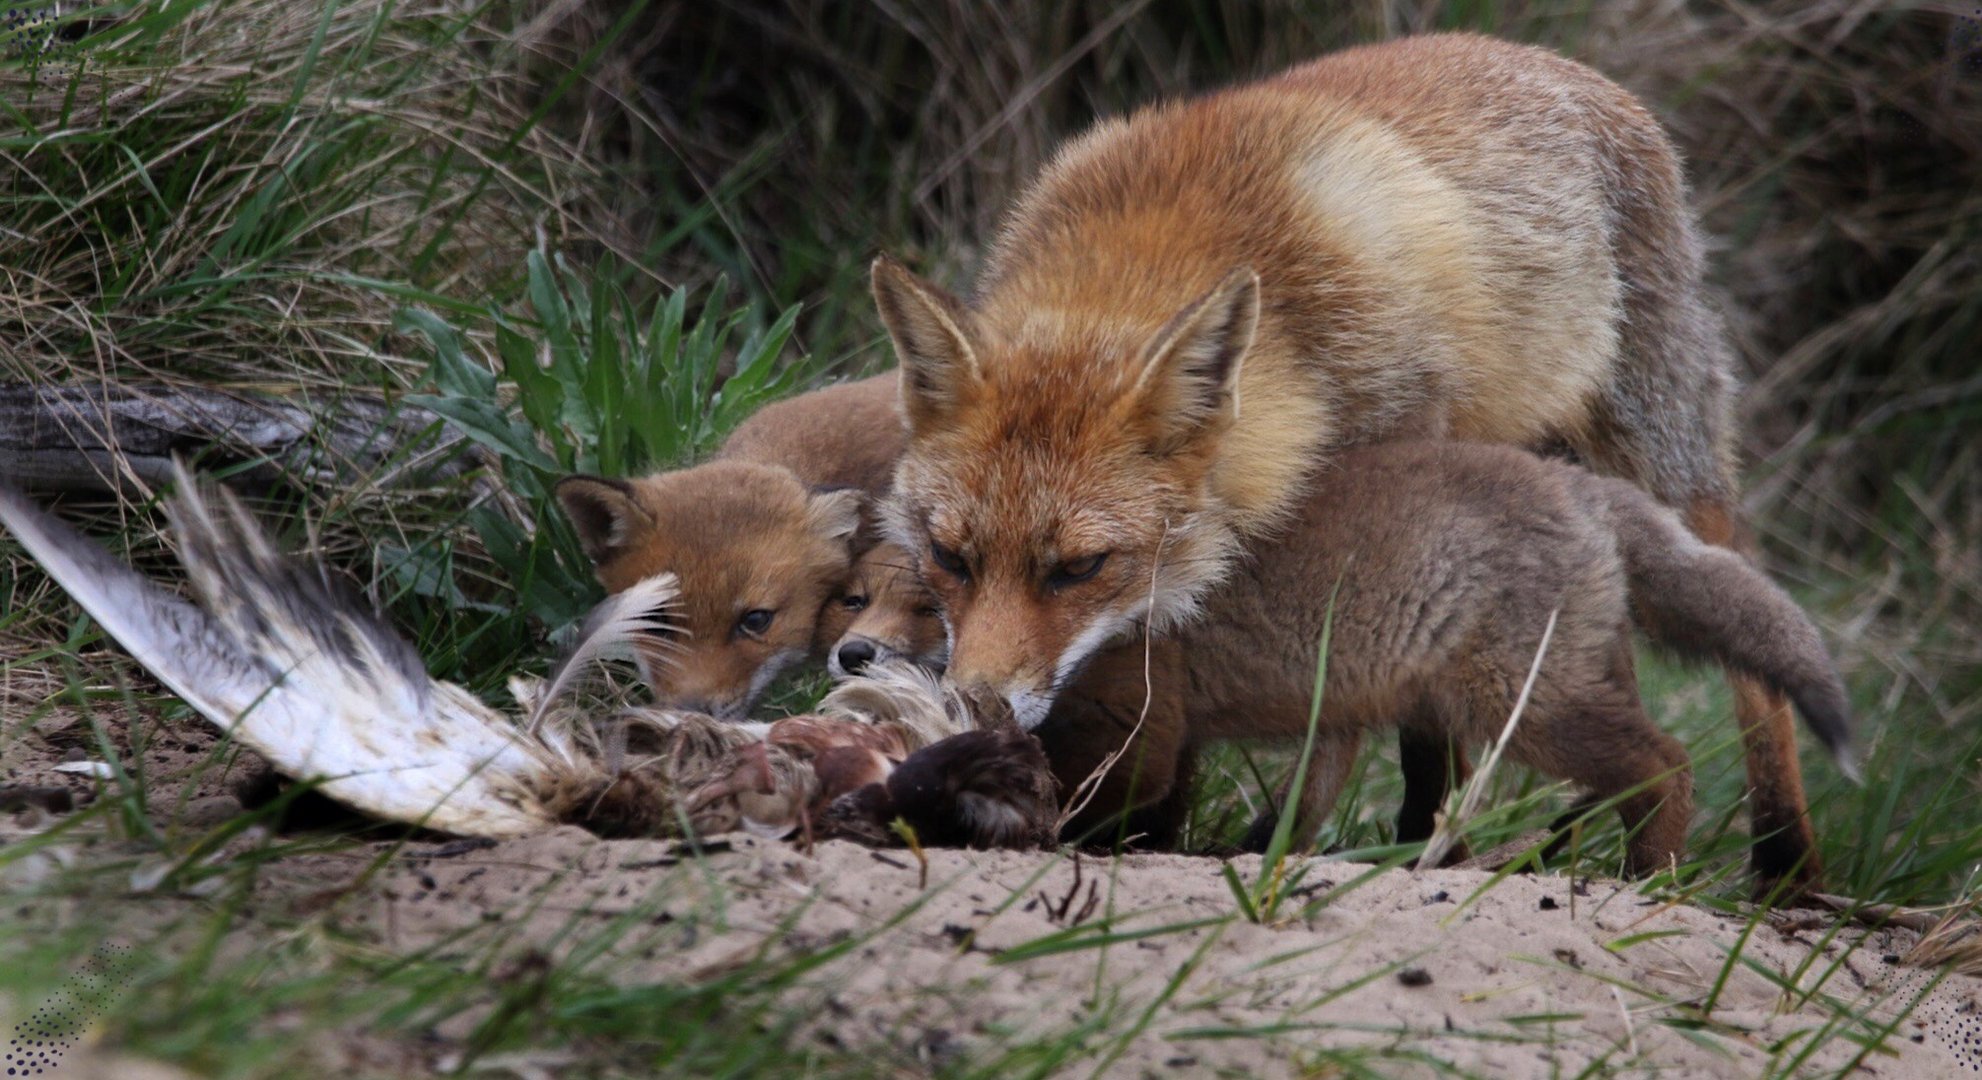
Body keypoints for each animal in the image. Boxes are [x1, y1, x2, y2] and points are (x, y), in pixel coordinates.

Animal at [876, 33, 1831, 883]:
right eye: (949, 558)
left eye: (1080, 568)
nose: (978, 709)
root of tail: (1567, 66)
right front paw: (1162, 831)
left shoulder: (1402, 467)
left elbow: (1391, 724)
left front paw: (1411, 835)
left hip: (1659, 450)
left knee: (1752, 653)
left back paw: (1782, 861)